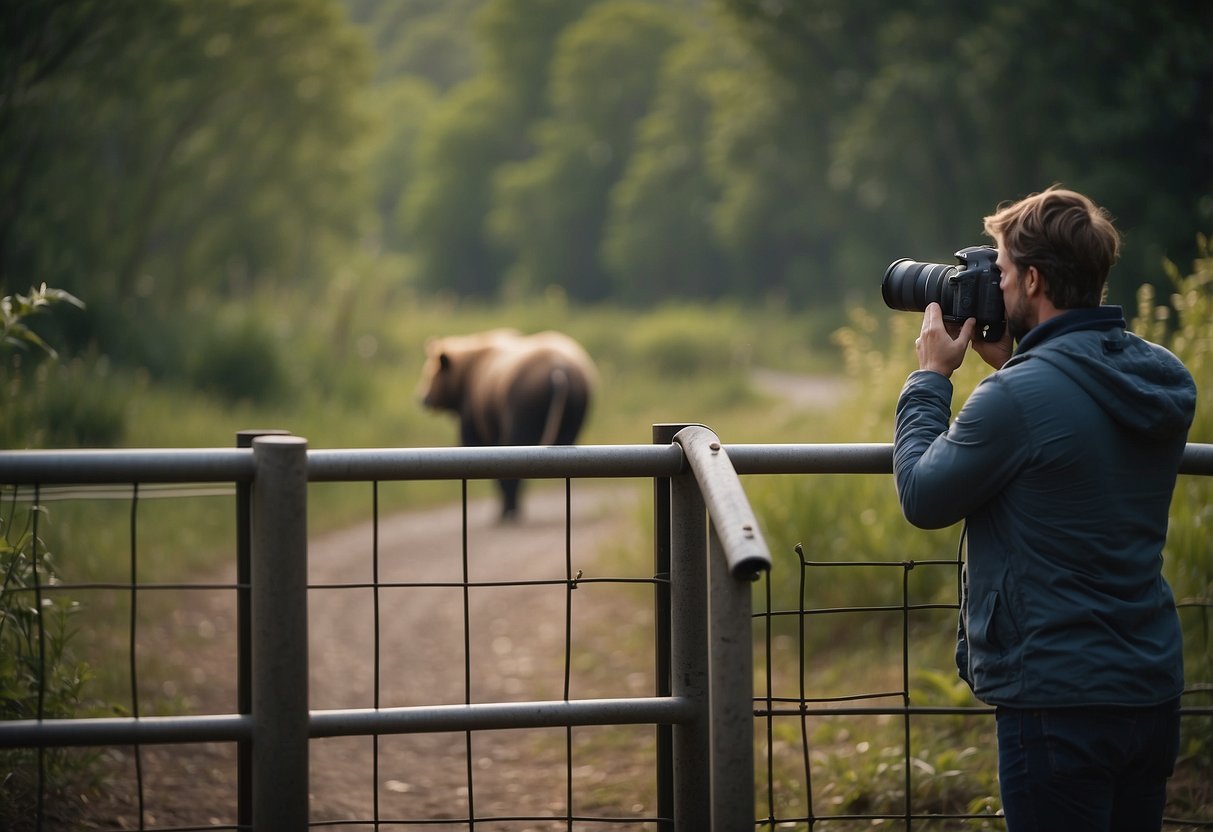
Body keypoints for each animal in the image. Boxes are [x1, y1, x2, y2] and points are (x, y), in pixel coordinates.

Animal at [419, 327, 599, 519]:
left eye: (430, 374)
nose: (422, 398)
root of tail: (559, 369)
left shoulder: (475, 420)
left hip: (522, 408)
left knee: (515, 449)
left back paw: (507, 510)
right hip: (574, 412)